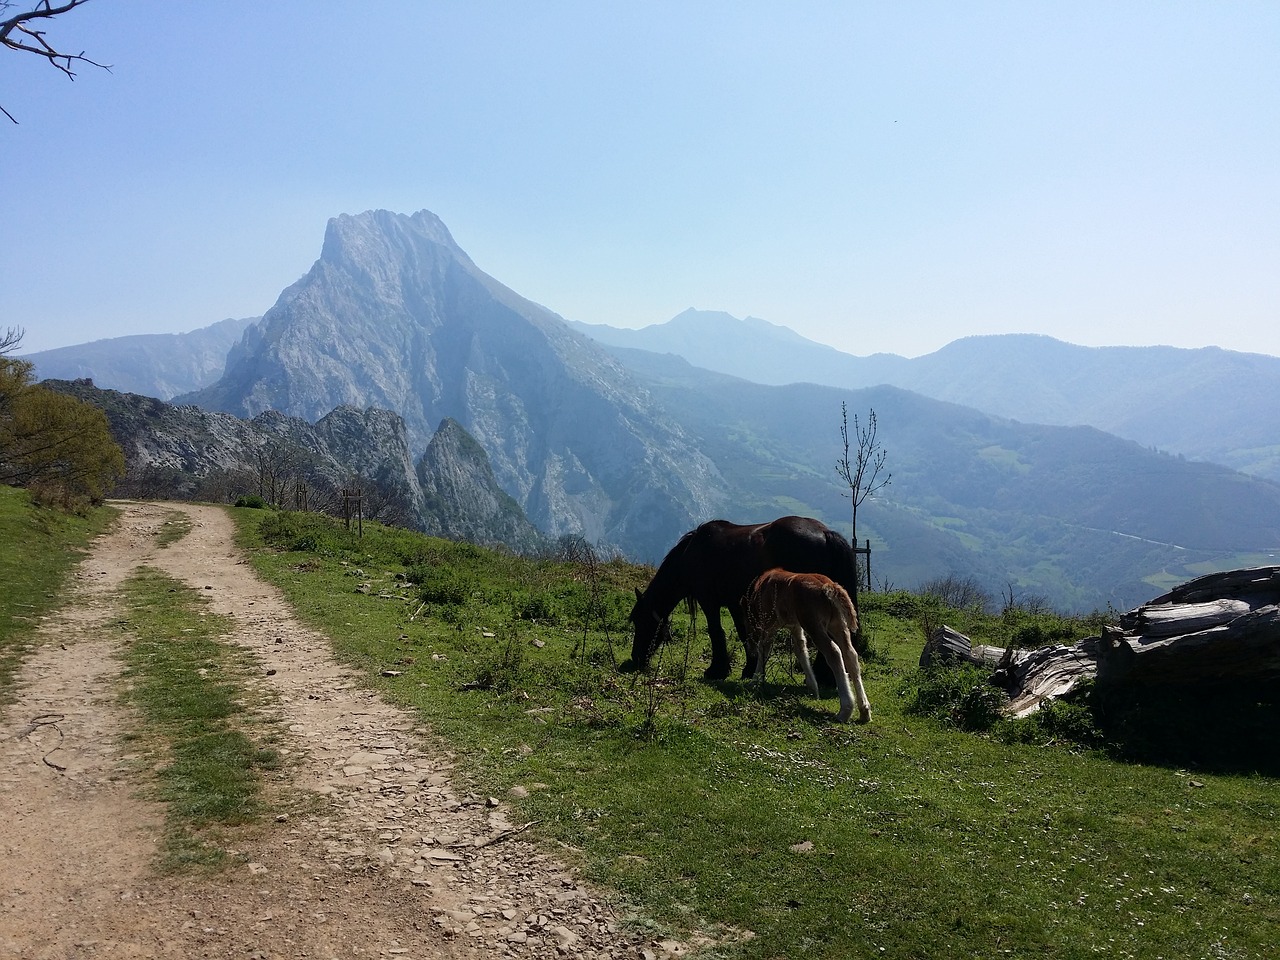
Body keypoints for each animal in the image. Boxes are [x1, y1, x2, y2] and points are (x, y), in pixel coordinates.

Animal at [629, 514, 860, 680]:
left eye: (641, 622)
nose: (635, 658)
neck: (692, 554)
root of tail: (825, 533)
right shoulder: (735, 604)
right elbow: (744, 634)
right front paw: (749, 668)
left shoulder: (709, 601)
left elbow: (716, 632)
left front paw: (717, 670)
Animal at [742, 570, 870, 721]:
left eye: (746, 626)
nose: (750, 650)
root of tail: (828, 585)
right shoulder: (795, 626)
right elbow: (800, 649)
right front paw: (813, 688)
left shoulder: (769, 624)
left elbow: (764, 648)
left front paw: (755, 681)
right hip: (838, 625)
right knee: (850, 654)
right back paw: (864, 710)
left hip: (813, 625)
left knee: (834, 652)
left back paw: (845, 710)